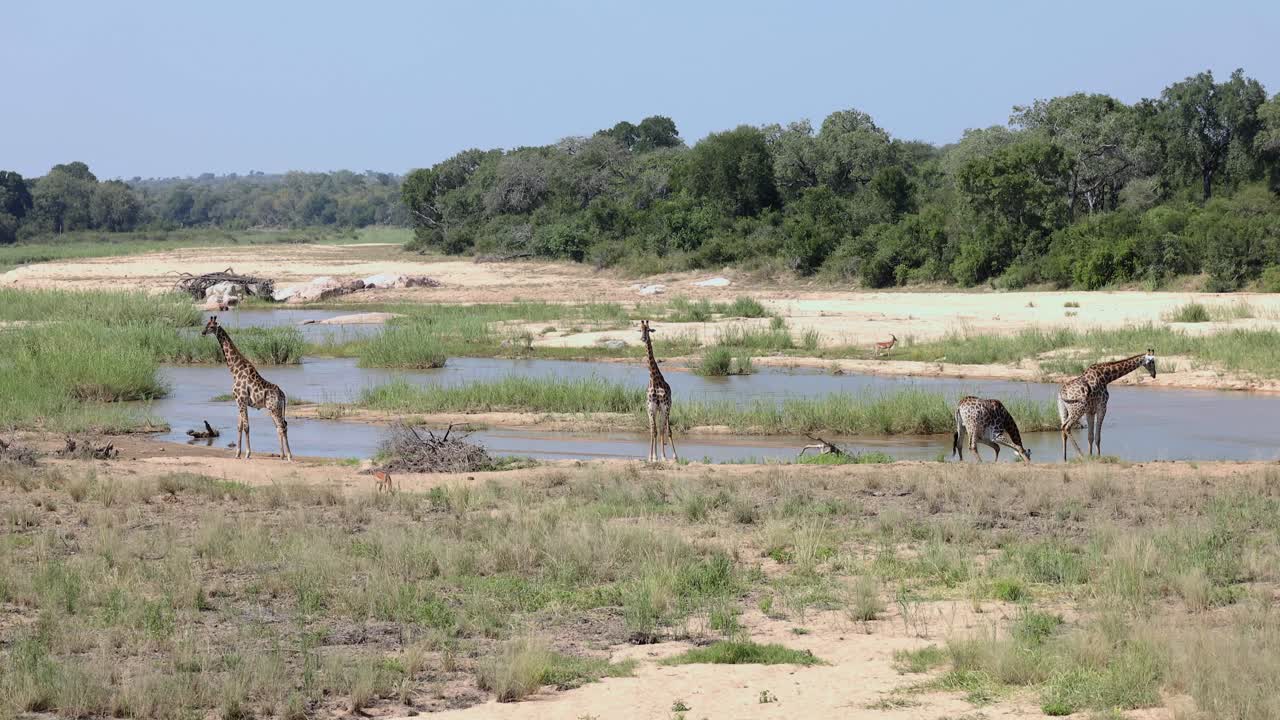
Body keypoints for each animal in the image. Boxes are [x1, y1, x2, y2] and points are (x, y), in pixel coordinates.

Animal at [202, 316, 294, 462]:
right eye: (206, 324)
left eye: (211, 326)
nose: (203, 332)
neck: (234, 370)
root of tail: (282, 394)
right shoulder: (239, 402)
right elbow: (239, 426)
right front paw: (237, 454)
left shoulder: (241, 400)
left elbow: (246, 427)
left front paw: (247, 454)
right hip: (275, 409)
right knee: (280, 426)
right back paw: (282, 455)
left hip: (274, 408)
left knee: (282, 427)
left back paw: (289, 456)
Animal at [639, 320, 678, 462]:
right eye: (640, 329)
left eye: (648, 330)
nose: (643, 338)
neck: (655, 381)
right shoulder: (651, 407)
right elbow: (653, 431)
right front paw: (652, 457)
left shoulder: (664, 406)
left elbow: (663, 430)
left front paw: (664, 456)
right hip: (655, 410)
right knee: (655, 429)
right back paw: (654, 456)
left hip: (665, 408)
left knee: (665, 429)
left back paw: (671, 456)